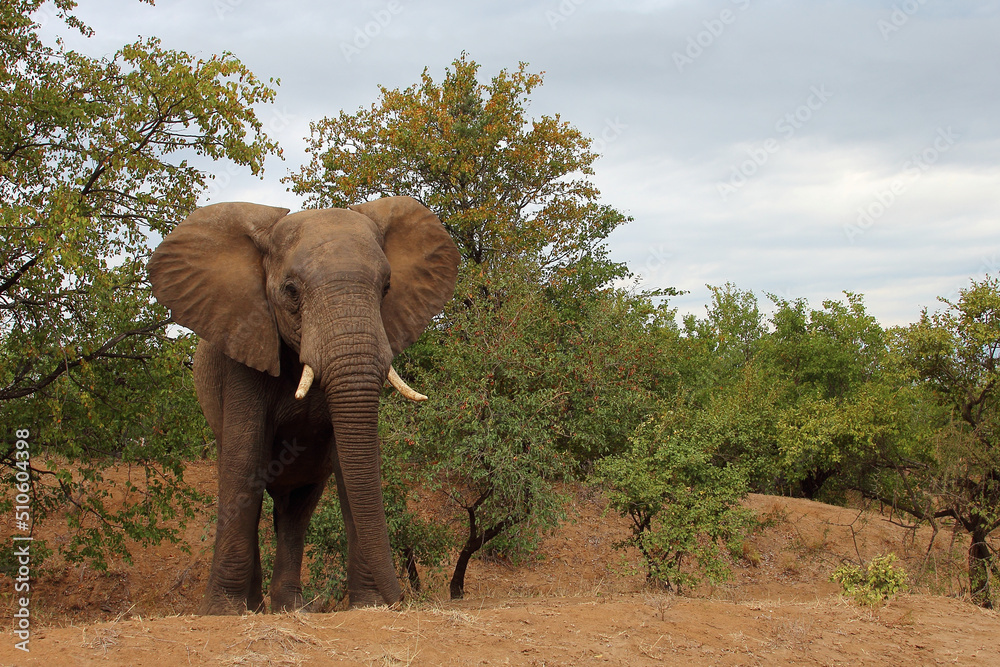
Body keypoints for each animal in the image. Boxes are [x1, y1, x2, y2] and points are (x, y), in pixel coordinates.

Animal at [147, 196, 460, 614]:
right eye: (291, 291)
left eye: (387, 287)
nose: (402, 601)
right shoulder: (245, 343)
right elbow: (244, 459)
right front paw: (222, 612)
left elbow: (350, 466)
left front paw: (368, 606)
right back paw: (255, 608)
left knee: (296, 510)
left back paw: (289, 608)